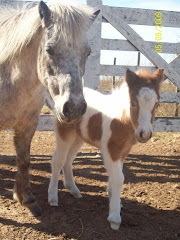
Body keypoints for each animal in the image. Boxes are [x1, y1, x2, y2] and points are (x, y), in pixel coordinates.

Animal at [0, 0, 100, 216]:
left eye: (87, 52)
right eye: (49, 50)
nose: (74, 108)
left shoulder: (28, 124)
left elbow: (24, 160)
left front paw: (26, 197)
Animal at [48, 68, 164, 230]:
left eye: (157, 104)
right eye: (133, 103)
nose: (145, 134)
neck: (122, 120)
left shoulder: (123, 151)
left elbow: (117, 174)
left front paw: (114, 198)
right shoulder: (111, 149)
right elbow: (119, 178)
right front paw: (114, 218)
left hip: (78, 138)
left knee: (68, 160)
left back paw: (73, 190)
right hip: (64, 135)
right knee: (58, 161)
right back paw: (52, 197)